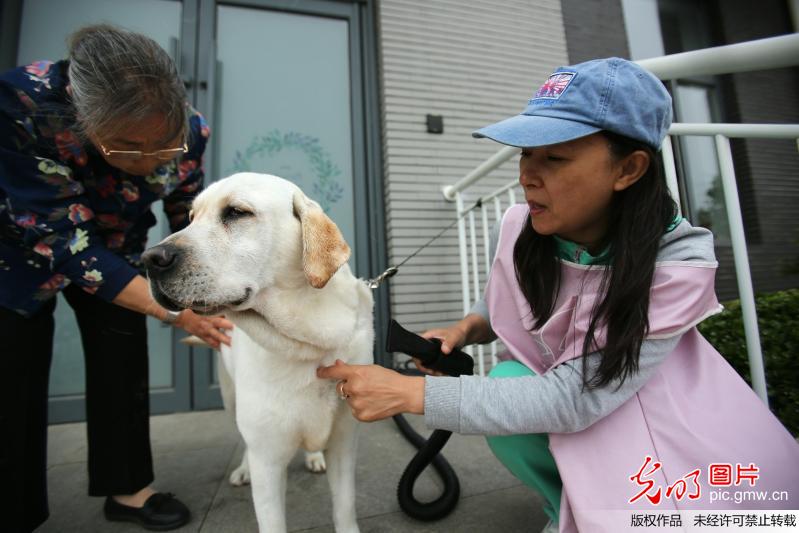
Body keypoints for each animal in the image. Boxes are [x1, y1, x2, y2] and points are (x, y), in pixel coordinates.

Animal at [143, 172, 376, 528]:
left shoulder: (344, 443)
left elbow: (345, 508)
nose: (150, 259)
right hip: (231, 398)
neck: (308, 344)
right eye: (191, 217)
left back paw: (313, 456)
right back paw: (242, 469)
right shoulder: (268, 459)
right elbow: (271, 518)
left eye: (237, 212)